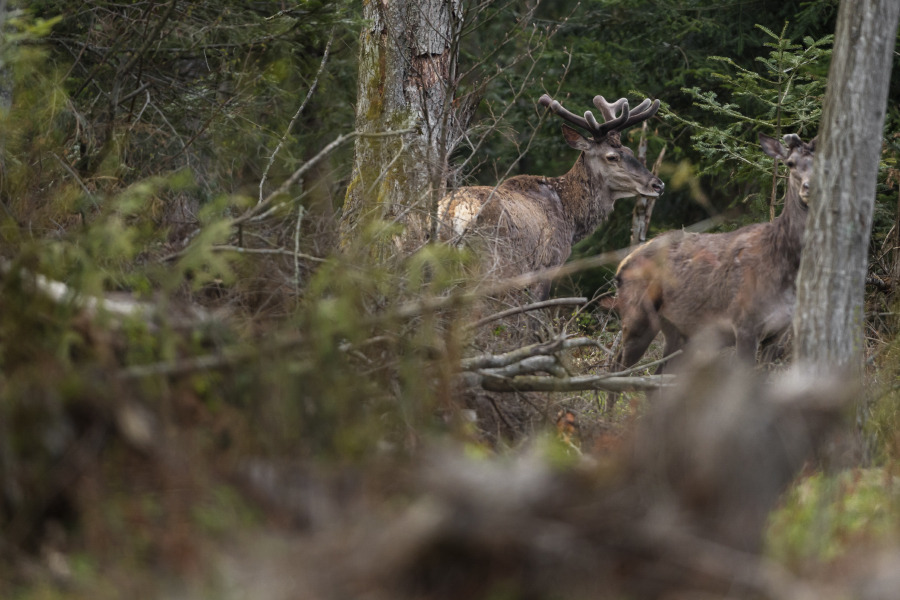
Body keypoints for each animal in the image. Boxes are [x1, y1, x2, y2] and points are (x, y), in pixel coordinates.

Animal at [437, 92, 664, 300]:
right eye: (612, 156)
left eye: (630, 151)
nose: (658, 184)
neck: (571, 220)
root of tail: (455, 211)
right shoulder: (548, 263)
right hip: (491, 261)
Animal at [610, 133, 816, 384]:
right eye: (790, 163)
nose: (808, 187)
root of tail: (620, 267)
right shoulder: (744, 323)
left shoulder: (778, 333)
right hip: (637, 316)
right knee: (616, 370)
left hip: (680, 332)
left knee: (659, 375)